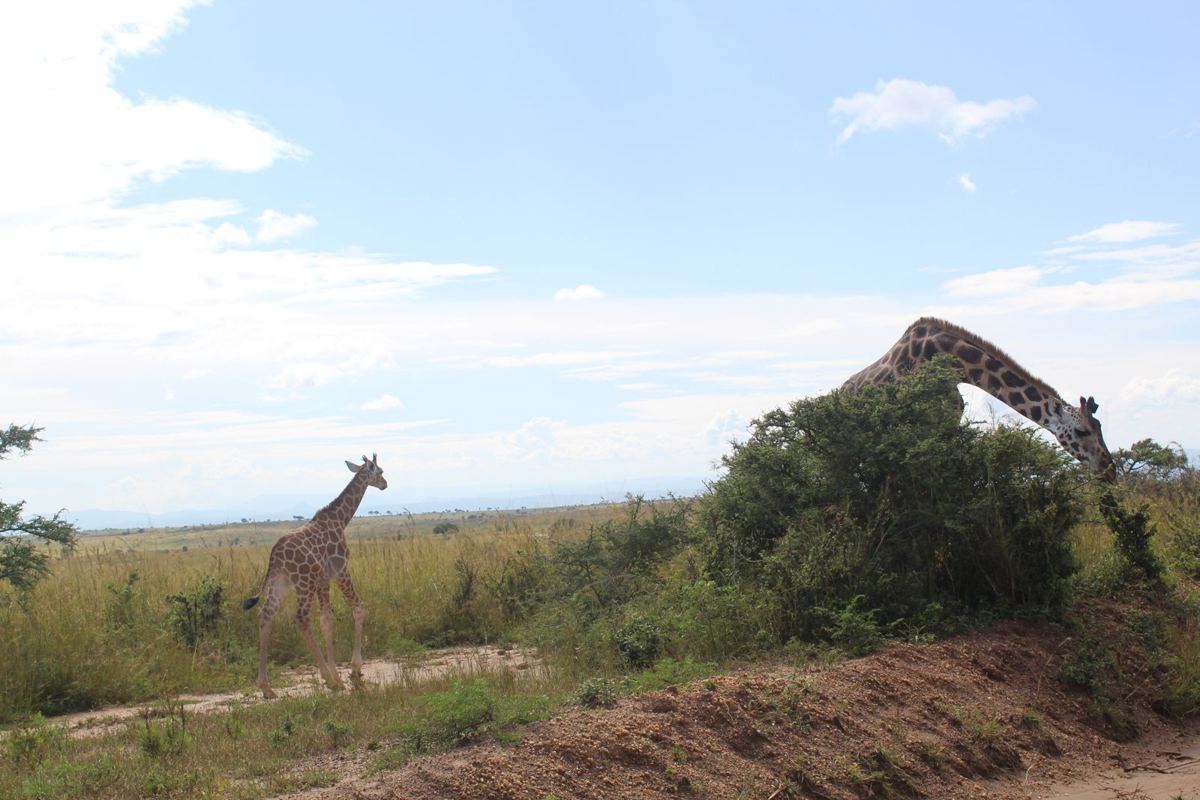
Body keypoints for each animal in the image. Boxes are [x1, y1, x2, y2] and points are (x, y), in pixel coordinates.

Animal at [242, 454, 387, 698]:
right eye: (380, 471)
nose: (385, 484)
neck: (340, 519)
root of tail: (274, 554)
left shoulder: (323, 578)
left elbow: (326, 619)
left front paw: (339, 676)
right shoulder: (339, 569)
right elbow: (358, 607)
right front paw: (353, 672)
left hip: (282, 582)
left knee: (266, 614)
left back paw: (266, 687)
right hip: (303, 581)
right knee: (301, 617)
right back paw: (327, 680)